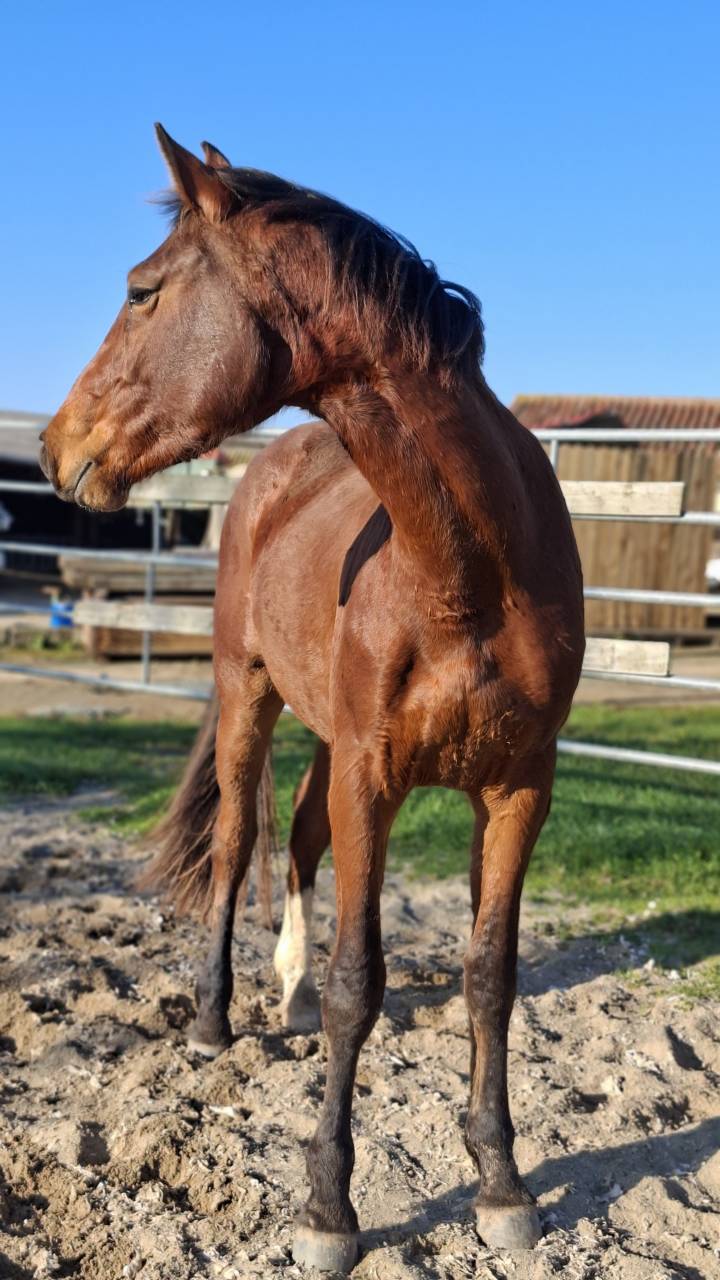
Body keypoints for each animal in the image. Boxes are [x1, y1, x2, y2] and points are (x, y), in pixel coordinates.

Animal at [40, 125, 585, 1273]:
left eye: (144, 291)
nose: (54, 447)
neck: (472, 573)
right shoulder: (374, 780)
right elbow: (358, 983)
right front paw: (330, 1206)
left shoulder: (518, 787)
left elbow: (488, 976)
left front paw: (503, 1184)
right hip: (249, 698)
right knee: (237, 841)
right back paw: (216, 1019)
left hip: (331, 741)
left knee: (292, 835)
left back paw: (278, 988)